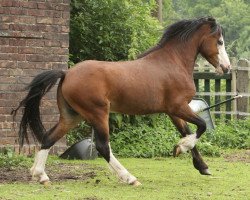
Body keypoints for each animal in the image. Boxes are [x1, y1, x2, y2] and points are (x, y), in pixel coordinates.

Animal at [12, 16, 230, 186]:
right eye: (219, 41)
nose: (226, 68)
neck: (173, 62)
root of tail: (66, 73)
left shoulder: (173, 112)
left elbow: (189, 132)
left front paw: (202, 166)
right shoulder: (178, 107)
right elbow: (200, 127)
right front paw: (181, 148)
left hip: (72, 116)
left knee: (48, 137)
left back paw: (41, 176)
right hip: (98, 113)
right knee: (102, 147)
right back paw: (130, 178)